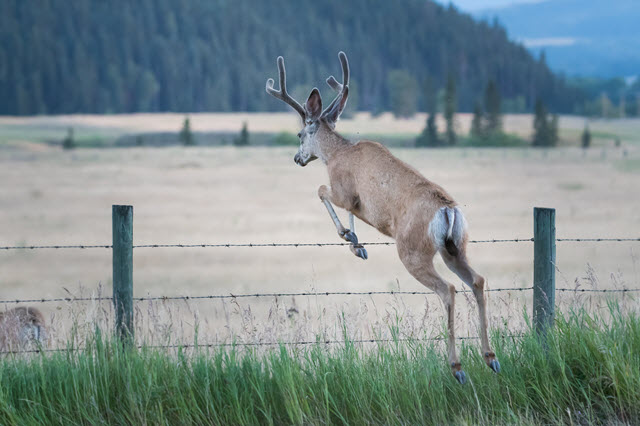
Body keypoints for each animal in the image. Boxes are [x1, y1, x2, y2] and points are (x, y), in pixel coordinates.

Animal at [264, 50, 500, 382]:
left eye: (299, 133)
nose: (297, 158)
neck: (335, 155)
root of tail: (447, 210)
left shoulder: (344, 189)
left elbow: (323, 192)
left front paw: (350, 238)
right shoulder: (355, 201)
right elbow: (347, 211)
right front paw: (356, 243)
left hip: (413, 250)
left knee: (448, 289)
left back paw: (457, 367)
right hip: (455, 247)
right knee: (477, 280)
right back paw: (490, 357)